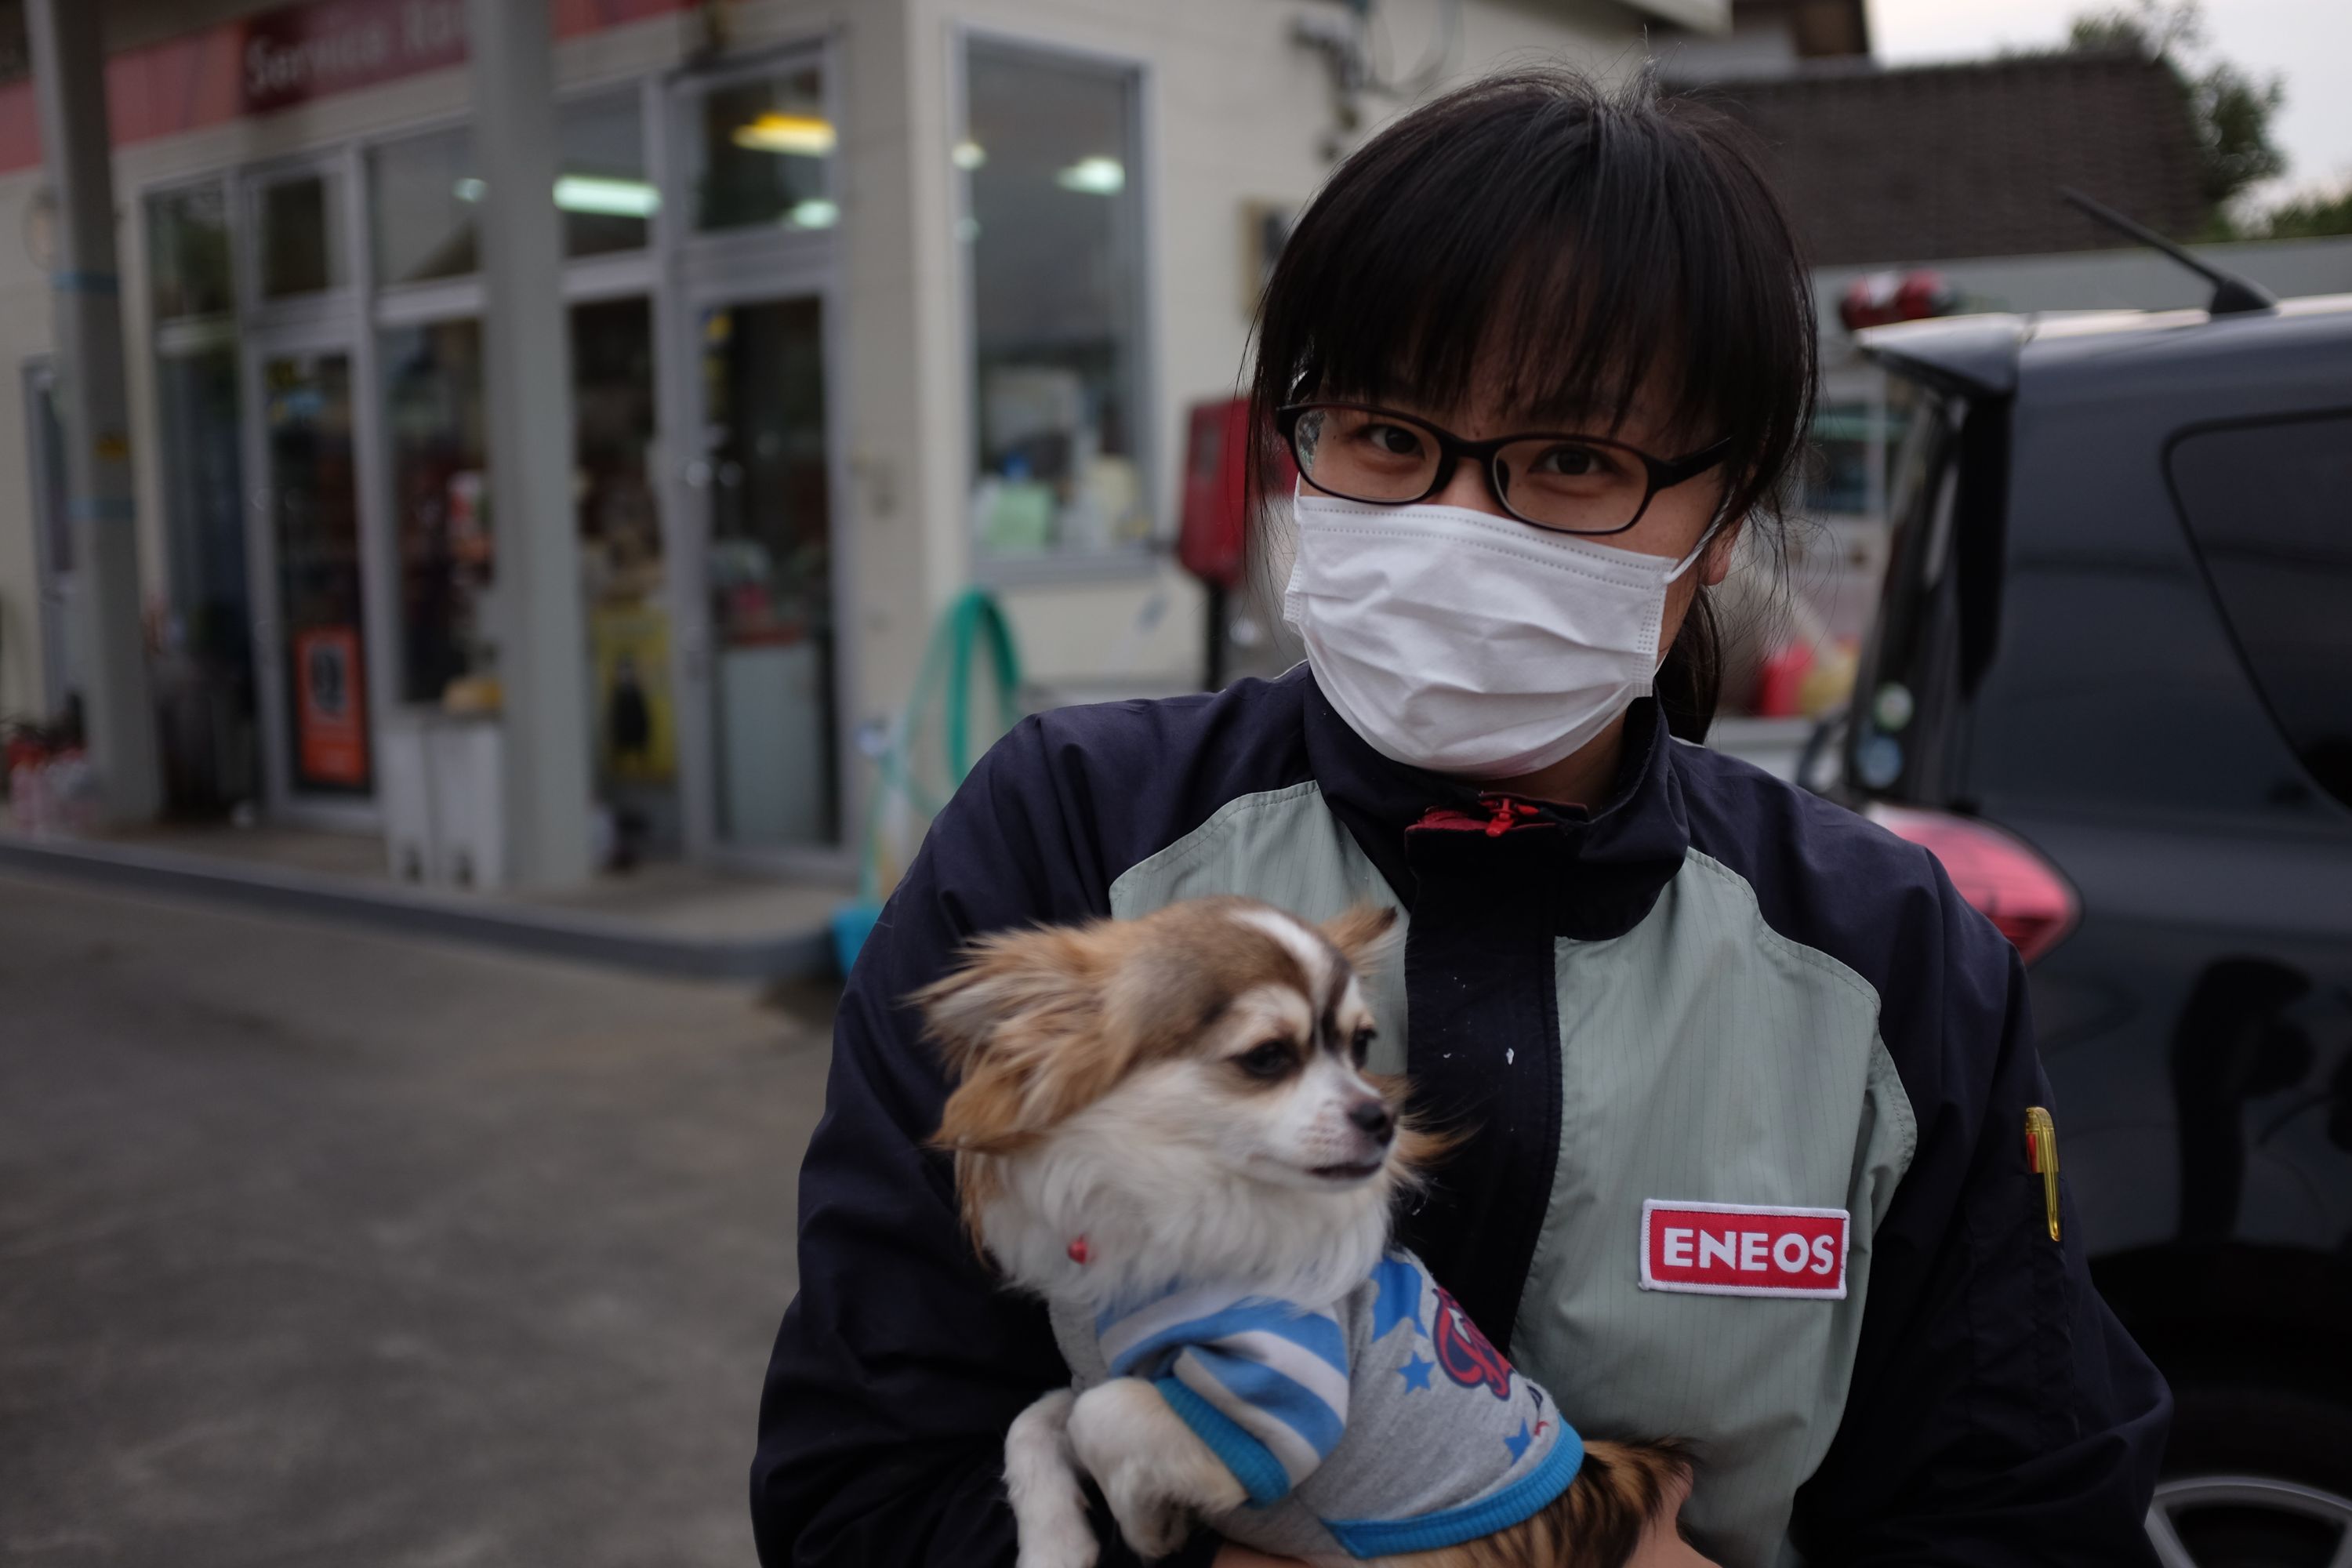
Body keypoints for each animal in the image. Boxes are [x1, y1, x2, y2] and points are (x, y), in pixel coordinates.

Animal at [917, 893, 1693, 1568]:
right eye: (1267, 1057)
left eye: (1360, 1046)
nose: (1382, 1116)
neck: (1178, 1201)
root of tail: (1582, 1490)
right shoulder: (1094, 1369)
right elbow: (1036, 1420)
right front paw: (1055, 1546)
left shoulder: (1277, 1402)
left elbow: (1101, 1415)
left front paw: (1148, 1523)